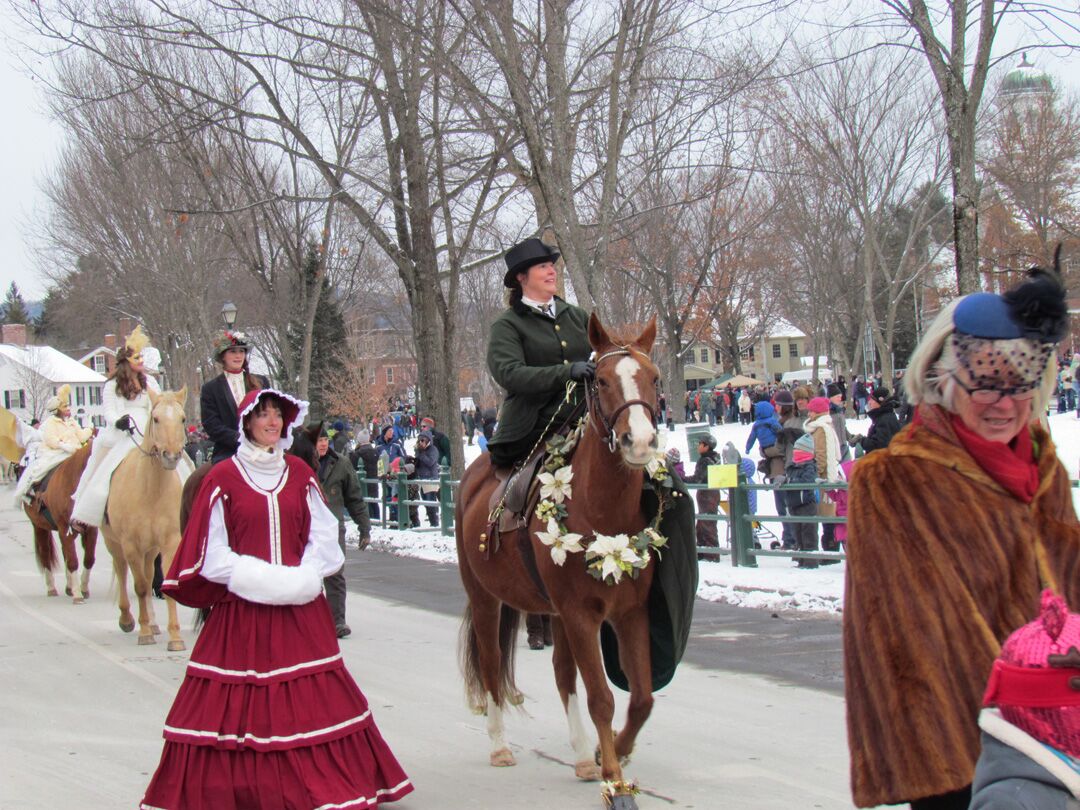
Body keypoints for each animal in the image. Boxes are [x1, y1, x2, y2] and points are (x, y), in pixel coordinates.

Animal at [23, 440, 98, 604]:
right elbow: (73, 561)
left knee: (65, 553)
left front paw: (82, 589)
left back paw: (69, 587)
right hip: (39, 527)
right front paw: (78, 595)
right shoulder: (64, 528)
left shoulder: (90, 529)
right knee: (45, 554)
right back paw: (52, 588)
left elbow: (89, 559)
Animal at [100, 388, 189, 652]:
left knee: (149, 574)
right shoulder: (130, 543)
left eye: (182, 419)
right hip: (114, 543)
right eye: (156, 419)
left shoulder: (169, 541)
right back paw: (129, 620)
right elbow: (139, 586)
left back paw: (154, 622)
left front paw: (175, 638)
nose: (171, 456)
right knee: (122, 571)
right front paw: (144, 632)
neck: (152, 489)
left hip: (151, 548)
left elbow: (163, 583)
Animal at [457, 313, 660, 807]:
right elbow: (603, 698)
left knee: (563, 674)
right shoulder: (582, 614)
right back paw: (500, 746)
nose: (641, 441)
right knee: (491, 662)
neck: (602, 508)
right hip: (486, 598)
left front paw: (614, 753)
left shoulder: (629, 612)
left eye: (654, 378)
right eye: (600, 380)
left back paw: (584, 756)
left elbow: (641, 697)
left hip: (558, 615)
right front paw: (615, 783)